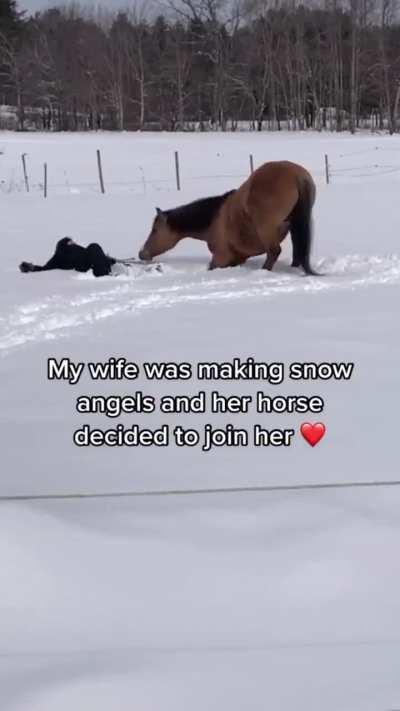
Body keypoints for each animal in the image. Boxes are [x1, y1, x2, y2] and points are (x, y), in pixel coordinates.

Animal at [138, 160, 318, 275]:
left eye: (155, 230)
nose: (142, 254)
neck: (213, 219)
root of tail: (297, 175)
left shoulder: (221, 257)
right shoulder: (237, 259)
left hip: (266, 230)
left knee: (274, 251)